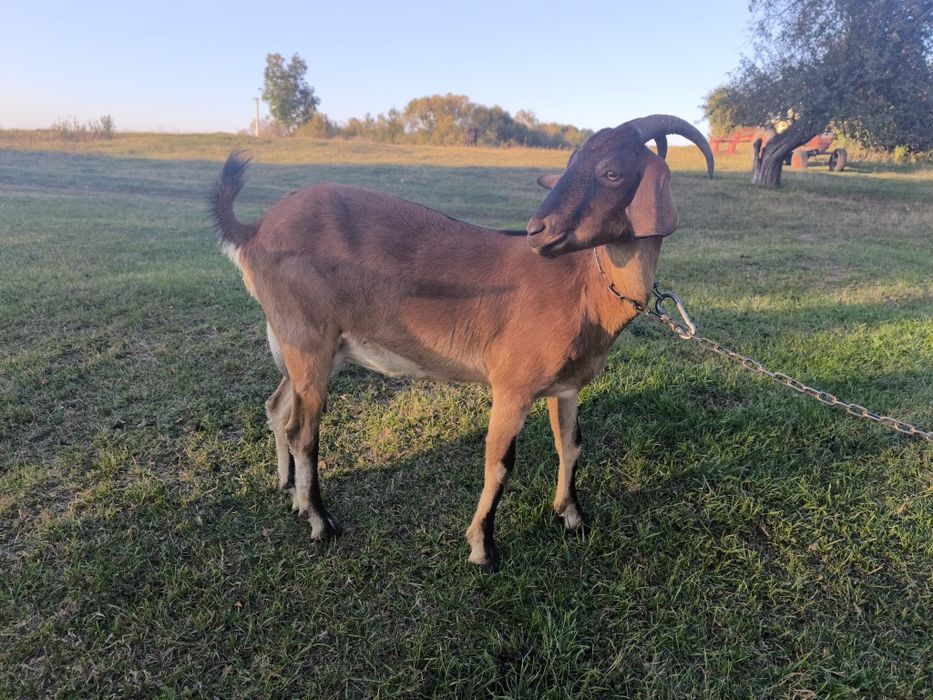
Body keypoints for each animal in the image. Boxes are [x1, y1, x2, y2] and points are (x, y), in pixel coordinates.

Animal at [209, 114, 714, 570]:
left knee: (278, 407)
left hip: (307, 346)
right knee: (303, 431)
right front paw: (482, 548)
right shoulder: (513, 385)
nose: (537, 231)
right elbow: (499, 463)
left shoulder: (566, 386)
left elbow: (570, 446)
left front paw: (572, 517)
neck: (584, 287)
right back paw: (321, 522)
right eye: (572, 164)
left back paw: (292, 495)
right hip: (308, 338)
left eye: (612, 172)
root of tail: (253, 231)